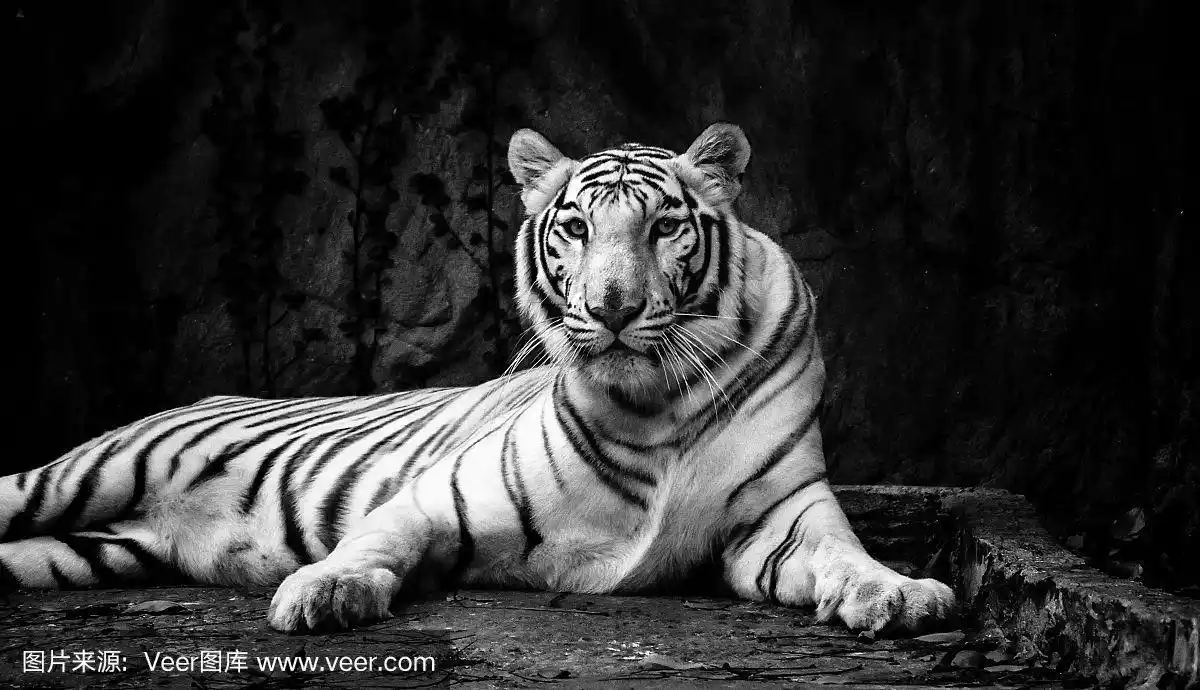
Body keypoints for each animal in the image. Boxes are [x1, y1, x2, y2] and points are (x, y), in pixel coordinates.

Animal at [1, 124, 955, 634]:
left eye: (662, 228)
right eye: (575, 227)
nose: (611, 308)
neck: (659, 405)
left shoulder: (782, 515)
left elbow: (844, 554)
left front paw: (899, 594)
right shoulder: (437, 496)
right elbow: (374, 541)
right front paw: (318, 592)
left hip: (89, 551)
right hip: (78, 477)